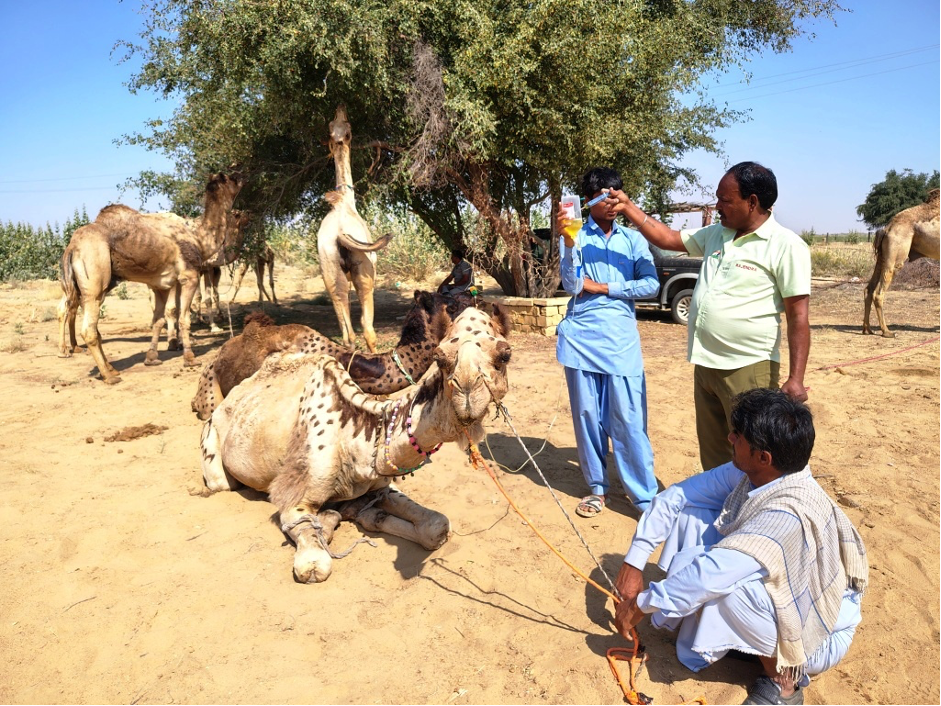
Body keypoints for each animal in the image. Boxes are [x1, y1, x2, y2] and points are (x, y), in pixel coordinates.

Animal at [57, 172, 243, 383]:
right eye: (227, 178)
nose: (240, 176)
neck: (199, 237)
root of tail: (71, 248)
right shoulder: (189, 276)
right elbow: (183, 318)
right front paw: (190, 358)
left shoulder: (161, 285)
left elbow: (158, 320)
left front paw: (152, 358)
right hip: (94, 276)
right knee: (87, 327)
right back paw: (108, 375)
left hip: (88, 285)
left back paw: (111, 368)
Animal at [200, 303, 511, 583]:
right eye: (439, 356)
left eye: (505, 355)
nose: (468, 391)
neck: (355, 440)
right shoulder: (293, 499)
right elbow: (314, 565)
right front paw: (329, 521)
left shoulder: (380, 482)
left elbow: (435, 526)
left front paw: (357, 513)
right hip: (213, 443)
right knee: (220, 481)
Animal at [317, 105, 392, 353]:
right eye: (350, 129)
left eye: (337, 125)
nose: (341, 108)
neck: (346, 202)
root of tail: (340, 233)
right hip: (365, 272)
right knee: (368, 330)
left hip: (330, 271)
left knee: (347, 334)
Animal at [863, 189, 940, 337]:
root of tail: (887, 228)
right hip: (896, 254)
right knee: (878, 292)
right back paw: (887, 331)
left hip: (882, 256)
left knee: (868, 289)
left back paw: (867, 329)